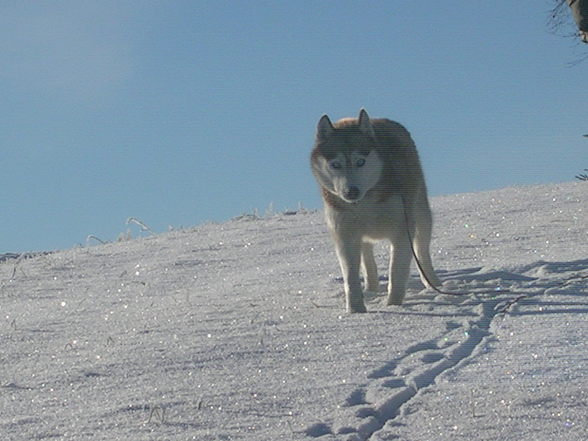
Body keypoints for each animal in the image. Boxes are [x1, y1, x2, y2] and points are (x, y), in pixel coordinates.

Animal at [310, 108, 438, 312]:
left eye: (360, 161)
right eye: (335, 164)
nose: (351, 191)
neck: (364, 203)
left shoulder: (402, 231)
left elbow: (396, 271)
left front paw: (394, 305)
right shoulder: (345, 235)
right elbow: (350, 277)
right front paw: (356, 310)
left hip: (421, 212)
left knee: (422, 250)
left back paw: (432, 281)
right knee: (366, 254)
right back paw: (370, 287)